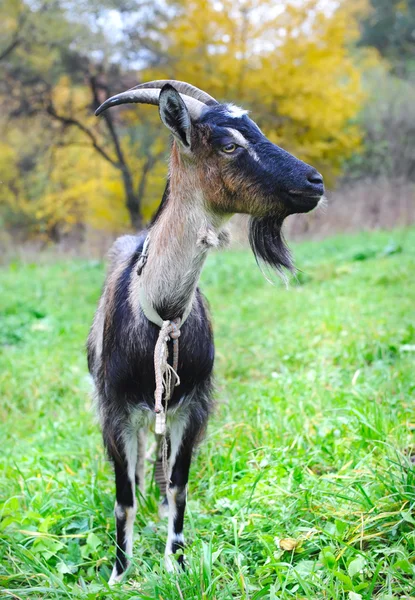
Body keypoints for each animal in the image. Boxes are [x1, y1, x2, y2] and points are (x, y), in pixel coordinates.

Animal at [88, 77, 324, 584]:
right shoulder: (114, 409)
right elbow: (123, 497)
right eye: (229, 144)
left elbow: (179, 486)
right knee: (140, 461)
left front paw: (175, 563)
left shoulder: (193, 405)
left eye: (256, 128)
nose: (314, 182)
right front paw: (119, 572)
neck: (161, 313)